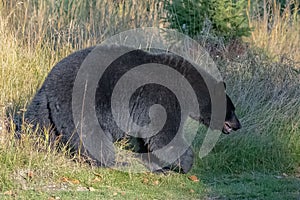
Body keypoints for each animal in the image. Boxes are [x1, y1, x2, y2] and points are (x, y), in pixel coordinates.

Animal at [25, 44, 241, 173]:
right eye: (232, 109)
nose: (238, 125)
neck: (189, 88)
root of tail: (49, 86)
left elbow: (150, 136)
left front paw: (156, 164)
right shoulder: (164, 97)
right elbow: (165, 135)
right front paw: (186, 163)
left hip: (43, 109)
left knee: (38, 127)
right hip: (82, 102)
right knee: (90, 135)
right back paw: (107, 161)